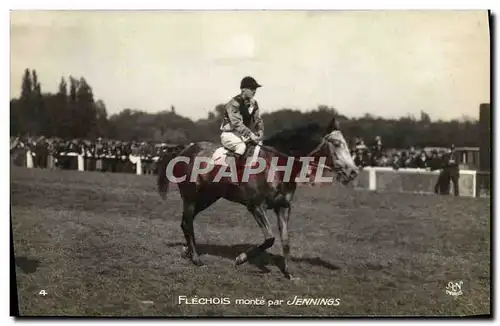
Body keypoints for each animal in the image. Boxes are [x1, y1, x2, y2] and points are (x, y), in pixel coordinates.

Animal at [156, 116, 360, 278]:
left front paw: (289, 272)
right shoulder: (256, 206)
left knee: (186, 222)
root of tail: (184, 150)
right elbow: (269, 238)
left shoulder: (283, 207)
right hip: (191, 198)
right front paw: (240, 259)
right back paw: (197, 259)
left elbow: (285, 240)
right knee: (187, 223)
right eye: (336, 143)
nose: (353, 172)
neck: (275, 165)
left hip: (208, 198)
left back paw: (188, 251)